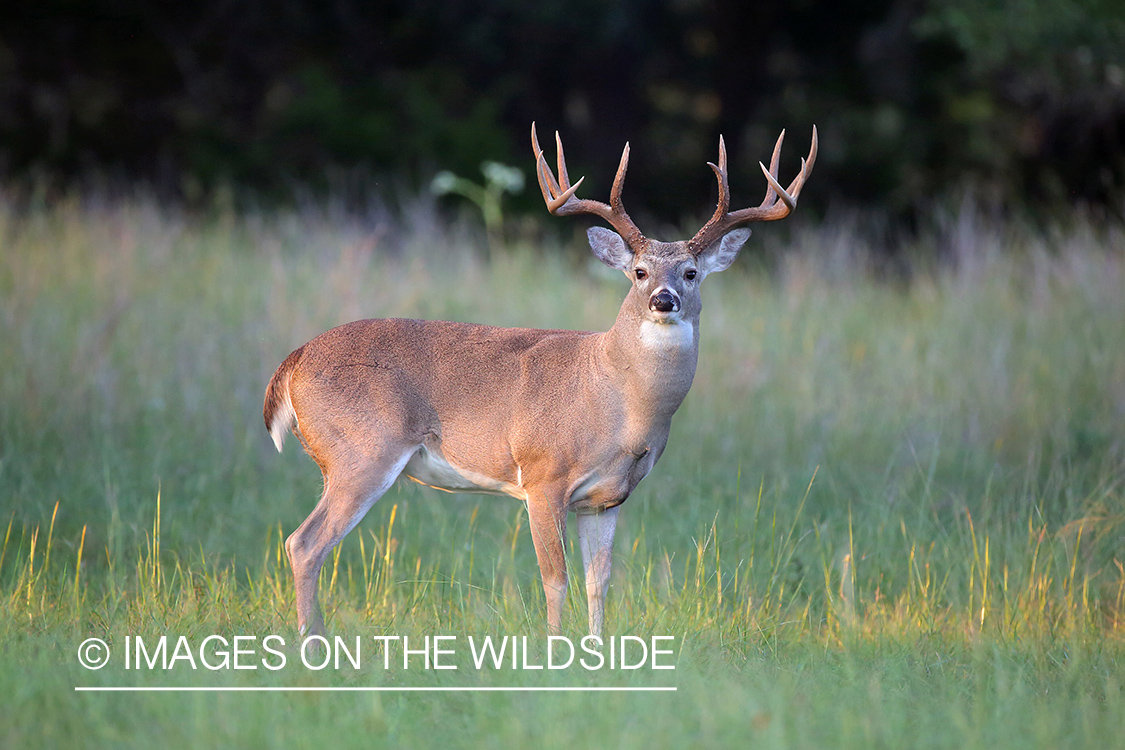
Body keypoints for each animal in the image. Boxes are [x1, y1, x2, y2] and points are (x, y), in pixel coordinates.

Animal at [261, 123, 819, 638]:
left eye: (691, 273)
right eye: (639, 272)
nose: (664, 300)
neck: (617, 401)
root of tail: (293, 362)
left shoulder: (608, 497)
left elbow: (599, 582)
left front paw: (597, 651)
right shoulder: (542, 476)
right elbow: (556, 579)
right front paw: (555, 651)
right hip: (361, 450)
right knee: (304, 543)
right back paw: (313, 644)